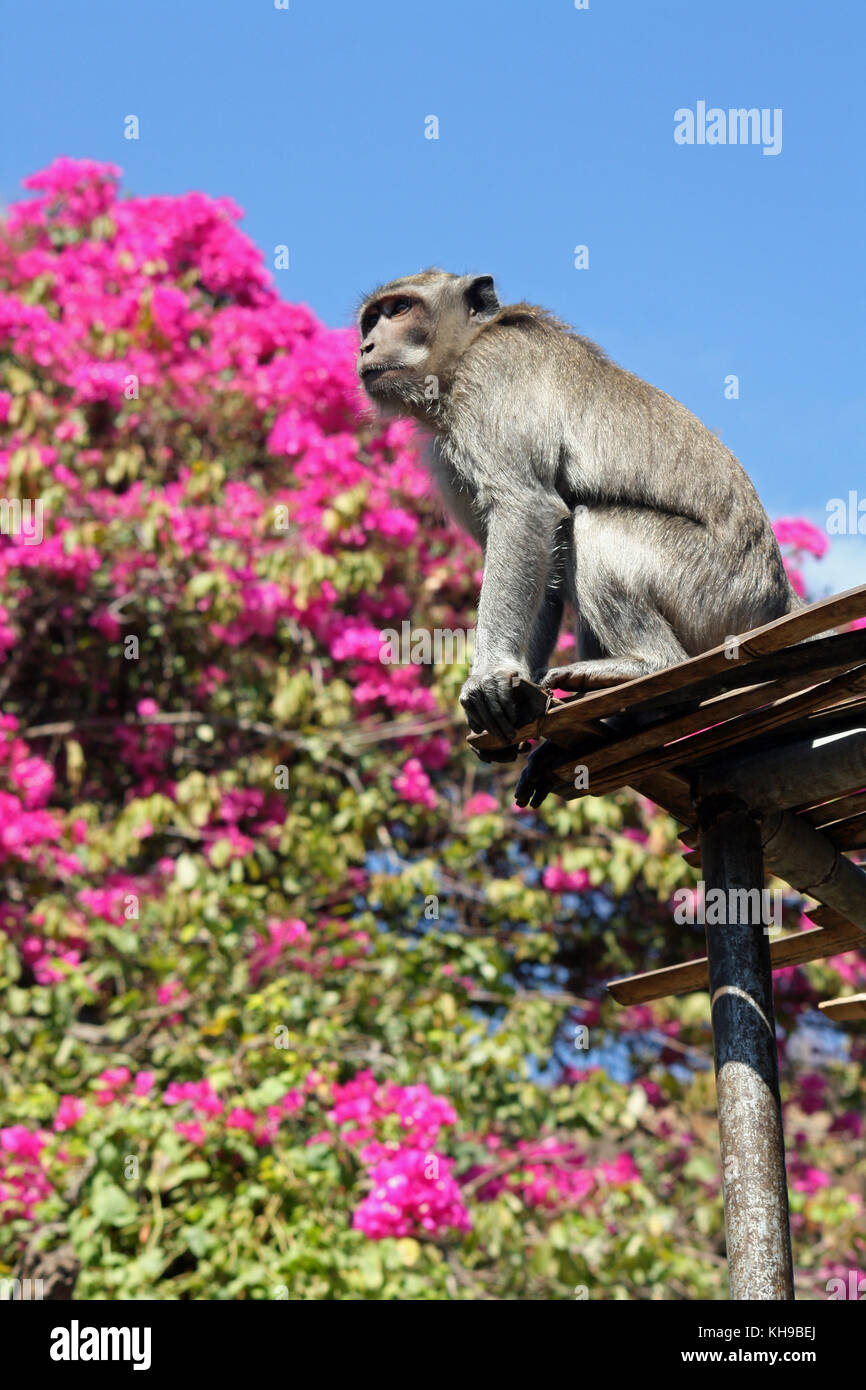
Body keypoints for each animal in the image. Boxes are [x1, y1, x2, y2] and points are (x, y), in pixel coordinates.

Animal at [355, 266, 800, 783]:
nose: (364, 346)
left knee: (592, 529)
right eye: (371, 320)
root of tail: (778, 597)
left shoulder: (491, 377)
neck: (468, 347)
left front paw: (489, 677)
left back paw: (645, 667)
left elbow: (525, 508)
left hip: (716, 590)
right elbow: (540, 563)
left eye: (400, 309)